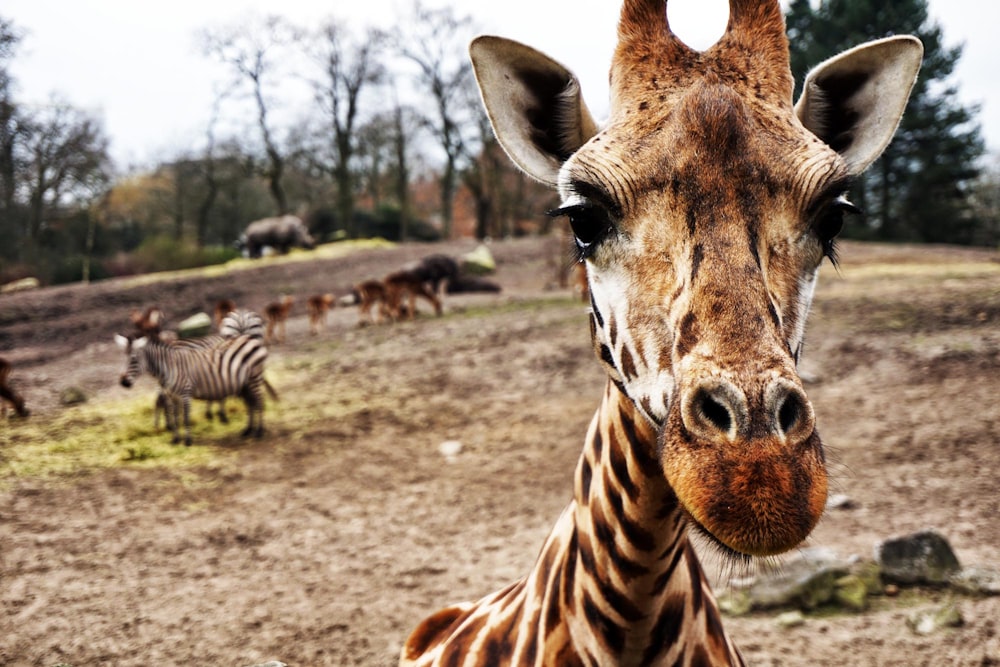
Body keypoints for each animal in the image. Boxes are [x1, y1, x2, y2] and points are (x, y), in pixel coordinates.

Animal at [116, 332, 270, 446]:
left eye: (134, 360)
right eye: (124, 360)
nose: (123, 383)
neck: (169, 367)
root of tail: (250, 338)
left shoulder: (185, 394)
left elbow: (185, 418)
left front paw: (188, 441)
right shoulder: (173, 396)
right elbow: (175, 418)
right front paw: (175, 439)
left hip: (254, 378)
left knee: (260, 401)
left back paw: (259, 432)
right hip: (245, 383)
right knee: (251, 403)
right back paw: (248, 430)